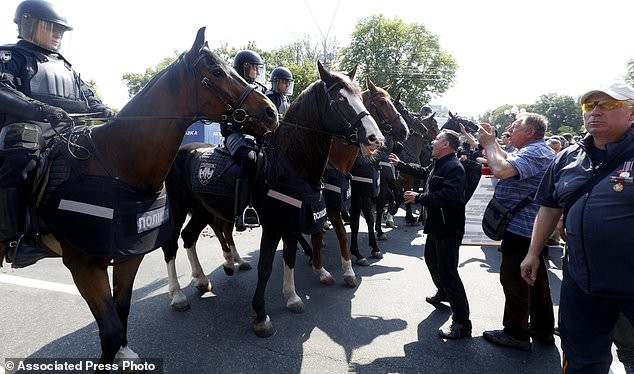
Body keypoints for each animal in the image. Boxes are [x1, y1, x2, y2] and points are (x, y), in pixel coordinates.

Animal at [0, 27, 276, 370]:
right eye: (216, 71)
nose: (271, 111)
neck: (116, 164)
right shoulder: (83, 266)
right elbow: (110, 331)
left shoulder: (128, 256)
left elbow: (121, 313)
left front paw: (124, 352)